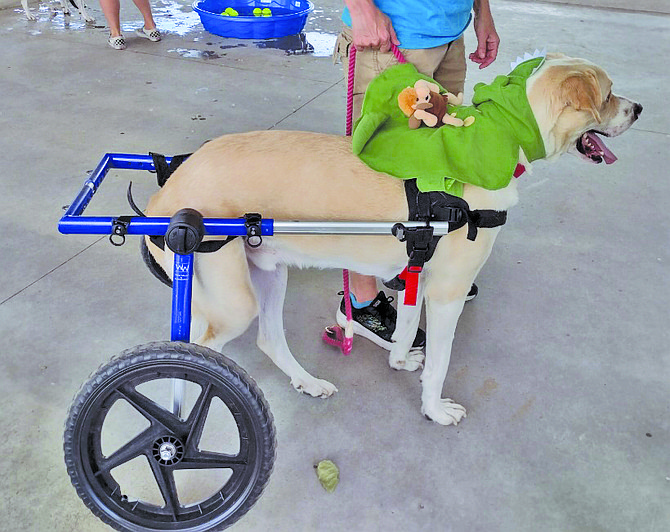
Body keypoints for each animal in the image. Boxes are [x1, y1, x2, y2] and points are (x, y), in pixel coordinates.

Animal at [144, 54, 644, 426]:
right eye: (608, 94)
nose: (639, 109)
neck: (501, 135)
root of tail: (161, 197)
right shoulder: (447, 294)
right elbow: (440, 364)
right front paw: (434, 410)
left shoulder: (416, 271)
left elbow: (403, 329)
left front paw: (400, 362)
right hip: (233, 300)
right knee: (192, 355)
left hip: (269, 273)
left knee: (269, 340)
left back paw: (308, 382)